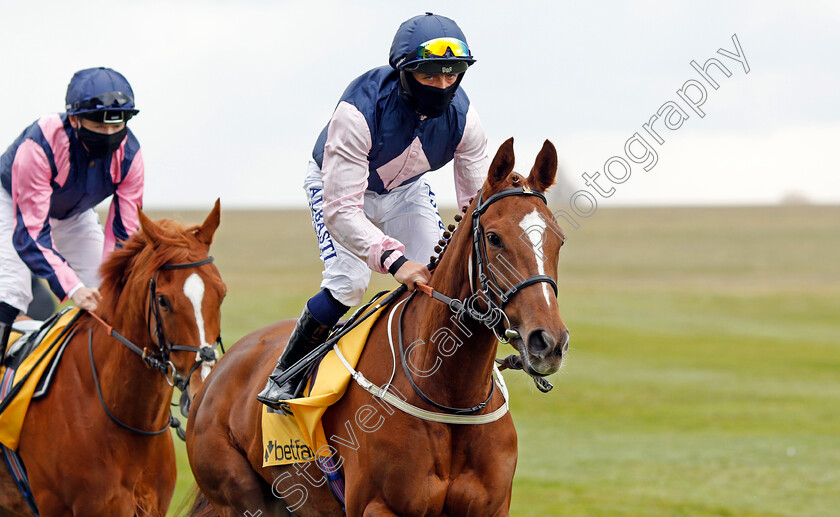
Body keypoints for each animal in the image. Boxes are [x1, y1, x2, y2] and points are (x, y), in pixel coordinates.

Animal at [189, 140, 572, 516]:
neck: (450, 398)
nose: (548, 341)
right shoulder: (377, 506)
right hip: (240, 496)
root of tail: (219, 369)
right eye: (493, 238)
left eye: (559, 239)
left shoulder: (492, 508)